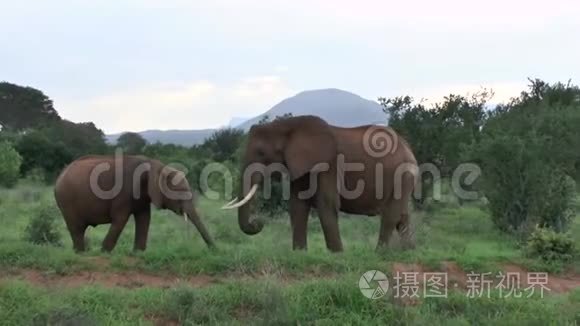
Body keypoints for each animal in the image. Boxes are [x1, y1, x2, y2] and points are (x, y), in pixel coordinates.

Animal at [53, 155, 213, 252]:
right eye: (180, 192)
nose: (214, 250)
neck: (154, 165)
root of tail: (60, 175)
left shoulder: (143, 196)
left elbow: (144, 219)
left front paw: (138, 253)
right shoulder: (123, 192)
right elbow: (120, 219)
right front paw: (104, 252)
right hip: (66, 200)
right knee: (77, 229)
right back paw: (82, 253)